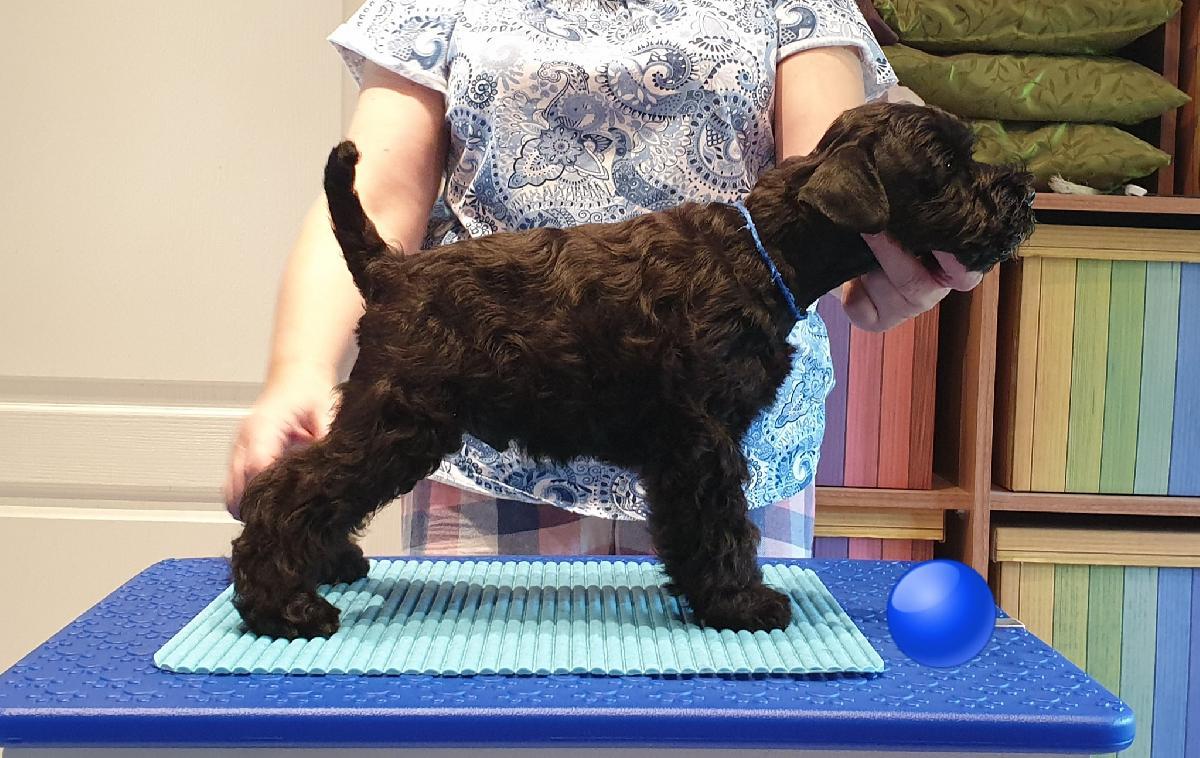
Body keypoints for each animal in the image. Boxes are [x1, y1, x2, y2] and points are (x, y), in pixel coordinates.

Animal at [230, 101, 1035, 639]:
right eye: (946, 167)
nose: (1024, 192)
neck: (765, 252)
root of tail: (390, 270)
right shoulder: (703, 442)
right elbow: (722, 524)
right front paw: (742, 602)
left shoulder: (688, 447)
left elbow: (692, 526)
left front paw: (709, 595)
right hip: (399, 421)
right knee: (286, 489)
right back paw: (285, 606)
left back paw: (327, 564)